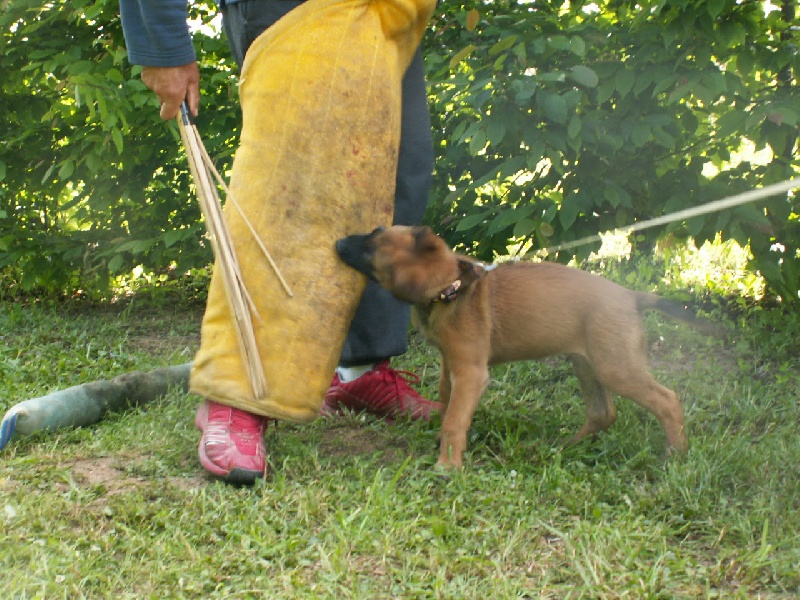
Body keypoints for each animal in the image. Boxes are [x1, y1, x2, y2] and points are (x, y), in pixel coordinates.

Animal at [338, 225, 720, 468]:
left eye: (373, 239)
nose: (338, 242)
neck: (453, 287)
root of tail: (631, 296)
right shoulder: (451, 366)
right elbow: (447, 404)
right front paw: (443, 448)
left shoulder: (471, 373)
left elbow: (455, 419)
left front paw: (448, 465)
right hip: (587, 363)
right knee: (603, 412)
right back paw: (563, 448)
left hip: (615, 366)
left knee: (667, 400)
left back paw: (675, 456)